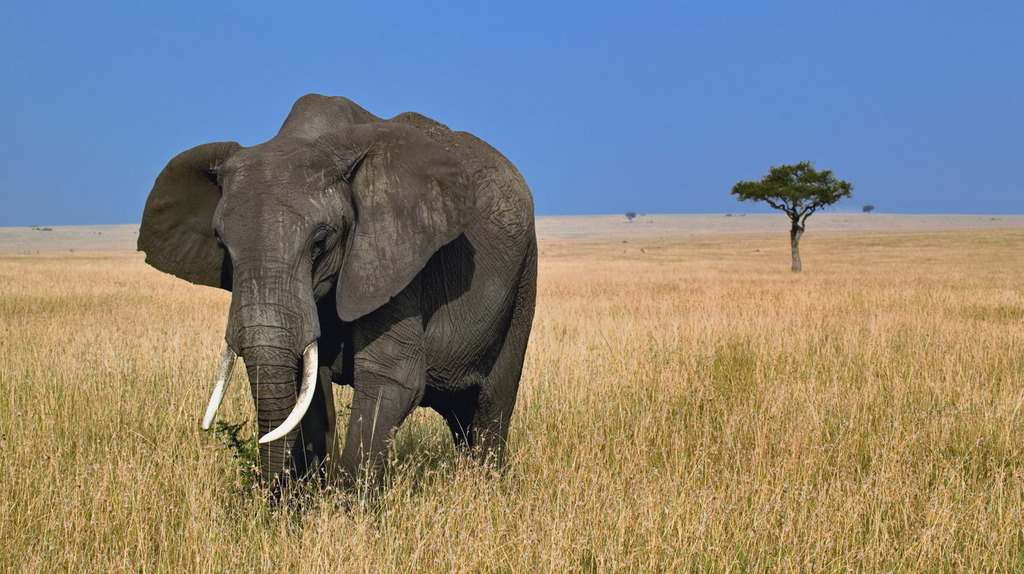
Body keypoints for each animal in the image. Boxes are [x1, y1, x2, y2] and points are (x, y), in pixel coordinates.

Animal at [138, 95, 536, 493]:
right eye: (221, 244)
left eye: (319, 242)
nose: (272, 496)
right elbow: (310, 386)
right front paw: (308, 498)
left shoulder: (394, 253)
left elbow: (391, 376)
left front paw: (345, 504)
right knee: (460, 415)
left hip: (522, 280)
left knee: (491, 404)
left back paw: (486, 488)